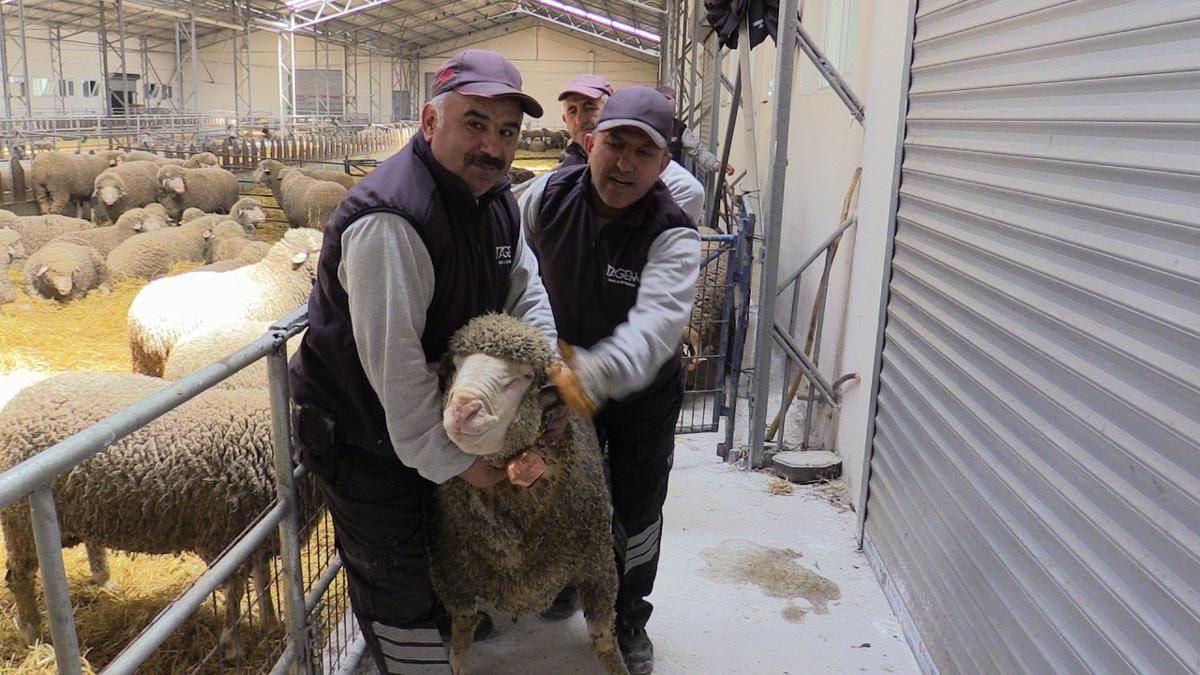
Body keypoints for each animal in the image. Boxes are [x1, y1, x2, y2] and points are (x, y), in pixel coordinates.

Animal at [0, 371, 320, 661]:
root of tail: (18, 400)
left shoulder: (261, 526)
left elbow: (264, 578)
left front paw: (272, 623)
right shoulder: (228, 535)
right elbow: (235, 591)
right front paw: (233, 646)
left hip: (84, 508)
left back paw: (104, 581)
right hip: (22, 523)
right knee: (19, 576)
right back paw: (35, 636)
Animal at [433, 313, 627, 675]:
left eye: (522, 377)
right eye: (455, 364)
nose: (463, 409)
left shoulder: (599, 565)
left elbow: (604, 636)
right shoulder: (448, 572)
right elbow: (463, 627)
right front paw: (458, 659)